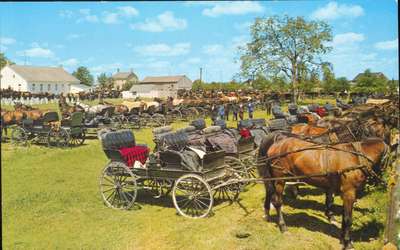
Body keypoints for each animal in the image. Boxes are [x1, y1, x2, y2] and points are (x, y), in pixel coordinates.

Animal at [256, 136, 390, 249]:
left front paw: (343, 239)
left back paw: (267, 214)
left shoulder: (344, 194)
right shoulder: (349, 193)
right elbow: (348, 219)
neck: (357, 158)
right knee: (278, 202)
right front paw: (348, 243)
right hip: (280, 178)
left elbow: (343, 216)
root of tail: (275, 144)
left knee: (269, 193)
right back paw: (283, 226)